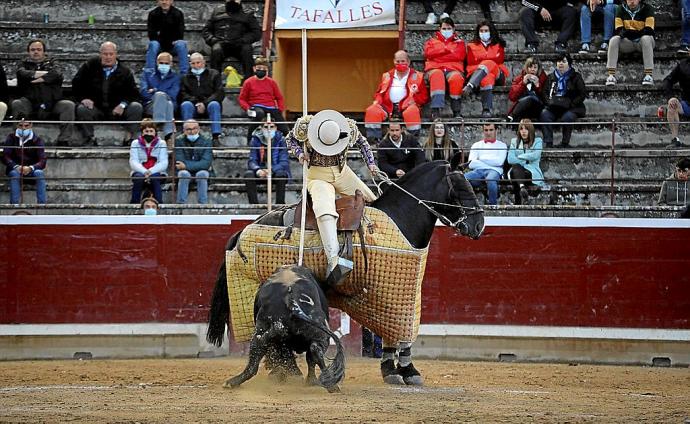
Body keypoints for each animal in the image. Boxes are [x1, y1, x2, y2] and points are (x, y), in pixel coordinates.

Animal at [207, 155, 485, 385]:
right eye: (461, 188)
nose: (479, 225)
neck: (399, 220)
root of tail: (242, 230)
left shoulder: (399, 293)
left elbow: (395, 333)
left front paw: (393, 370)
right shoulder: (395, 296)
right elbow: (403, 333)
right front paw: (406, 371)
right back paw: (283, 370)